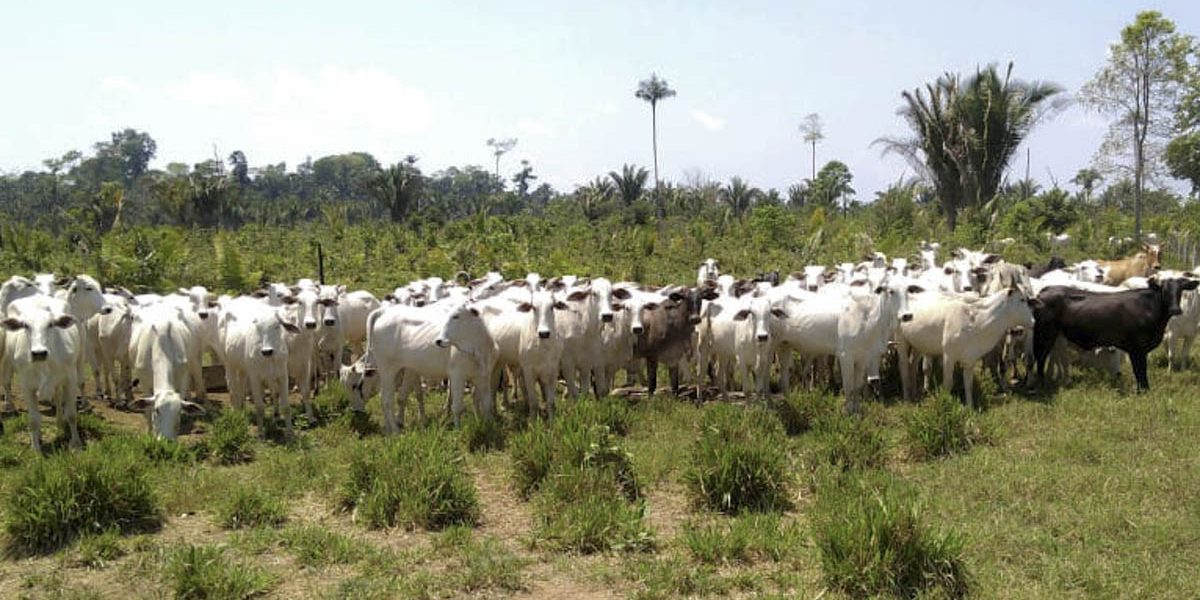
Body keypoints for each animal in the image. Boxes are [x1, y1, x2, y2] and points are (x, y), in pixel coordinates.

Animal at [1032, 274, 1200, 391]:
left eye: (1180, 290)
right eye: (1164, 290)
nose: (1175, 309)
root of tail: (1045, 290)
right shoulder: (1136, 349)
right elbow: (1140, 371)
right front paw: (1143, 391)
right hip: (1045, 333)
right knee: (1040, 357)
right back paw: (1040, 384)